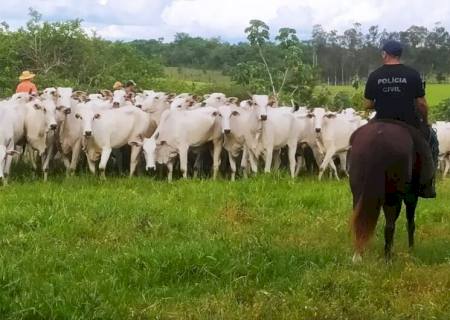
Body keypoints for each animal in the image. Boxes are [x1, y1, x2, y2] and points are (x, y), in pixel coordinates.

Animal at [348, 121, 422, 262]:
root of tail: (378, 138)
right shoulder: (411, 194)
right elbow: (410, 221)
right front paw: (411, 249)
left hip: (358, 191)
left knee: (358, 219)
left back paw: (358, 255)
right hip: (393, 193)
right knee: (390, 224)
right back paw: (388, 257)